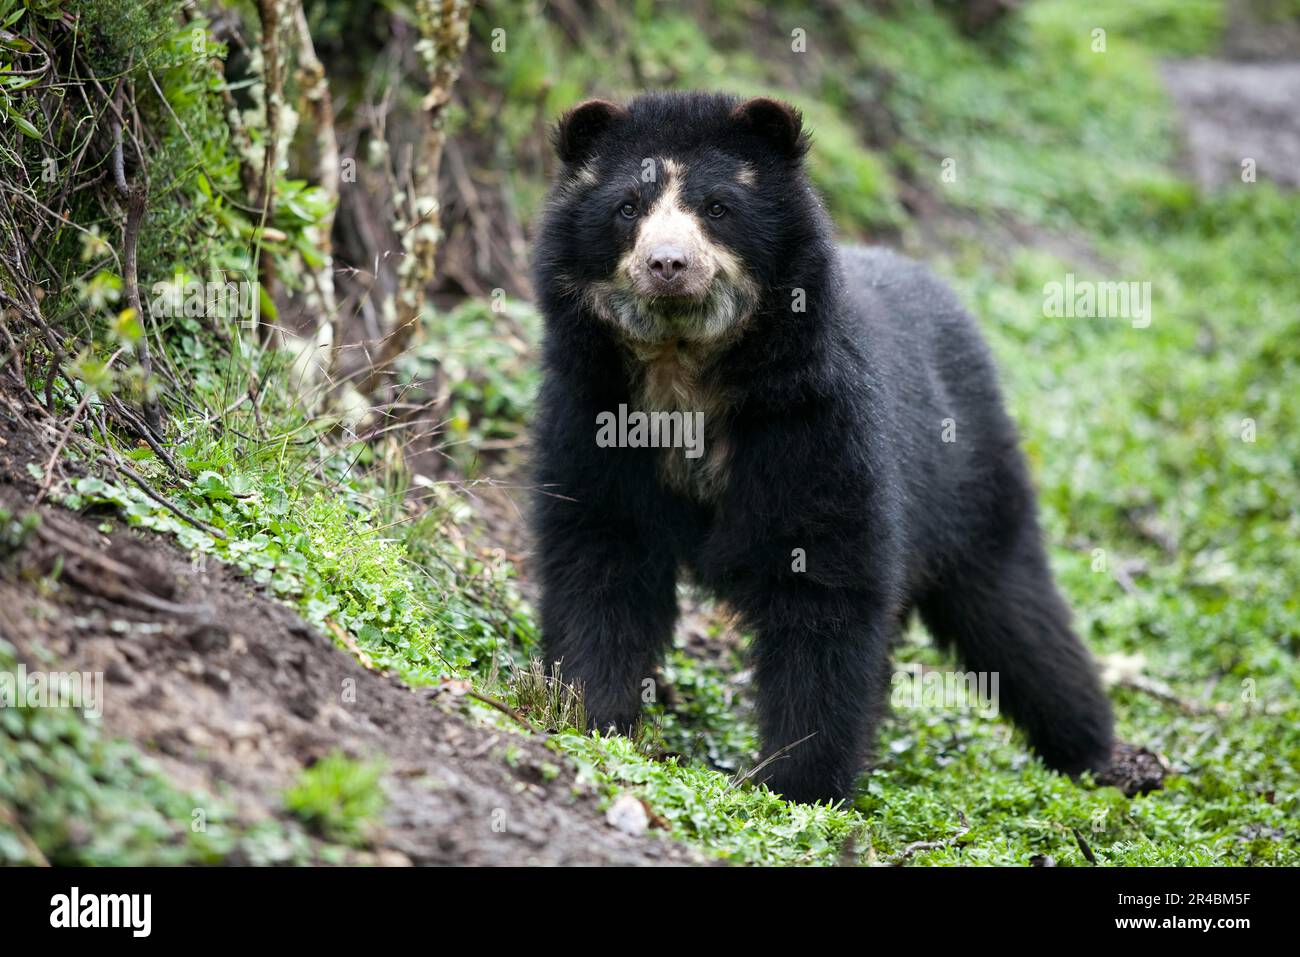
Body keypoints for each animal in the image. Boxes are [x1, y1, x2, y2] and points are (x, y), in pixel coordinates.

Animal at [530, 91, 1114, 804]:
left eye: (717, 206)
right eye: (627, 208)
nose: (667, 265)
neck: (682, 371)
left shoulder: (815, 425)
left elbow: (826, 589)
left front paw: (799, 782)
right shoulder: (593, 414)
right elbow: (598, 559)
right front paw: (588, 715)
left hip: (972, 474)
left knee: (1014, 610)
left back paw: (1092, 750)